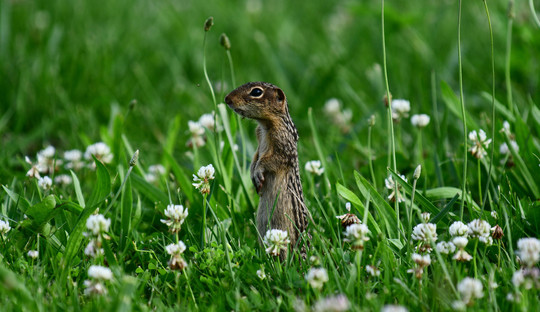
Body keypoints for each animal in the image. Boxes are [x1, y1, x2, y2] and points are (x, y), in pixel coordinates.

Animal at [224, 81, 308, 258]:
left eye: (256, 92)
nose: (227, 99)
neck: (264, 125)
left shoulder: (283, 146)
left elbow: (269, 160)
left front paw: (257, 172)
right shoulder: (258, 138)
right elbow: (255, 157)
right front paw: (252, 172)